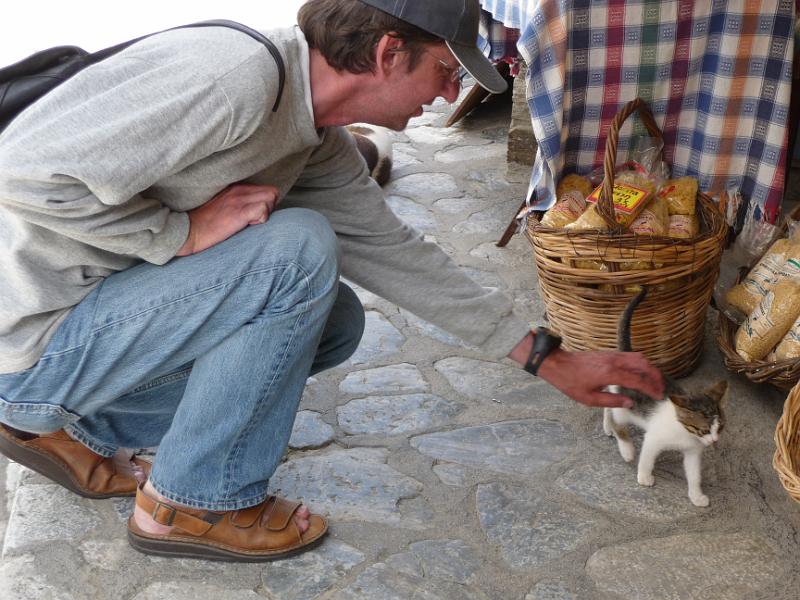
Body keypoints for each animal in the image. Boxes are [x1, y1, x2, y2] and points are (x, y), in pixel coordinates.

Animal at [604, 286, 728, 506]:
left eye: (719, 428)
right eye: (703, 429)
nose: (714, 441)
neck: (685, 432)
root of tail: (627, 355)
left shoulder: (693, 451)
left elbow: (694, 474)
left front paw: (696, 496)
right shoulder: (654, 438)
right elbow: (647, 458)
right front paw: (644, 476)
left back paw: (607, 428)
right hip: (623, 405)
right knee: (615, 418)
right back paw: (625, 448)